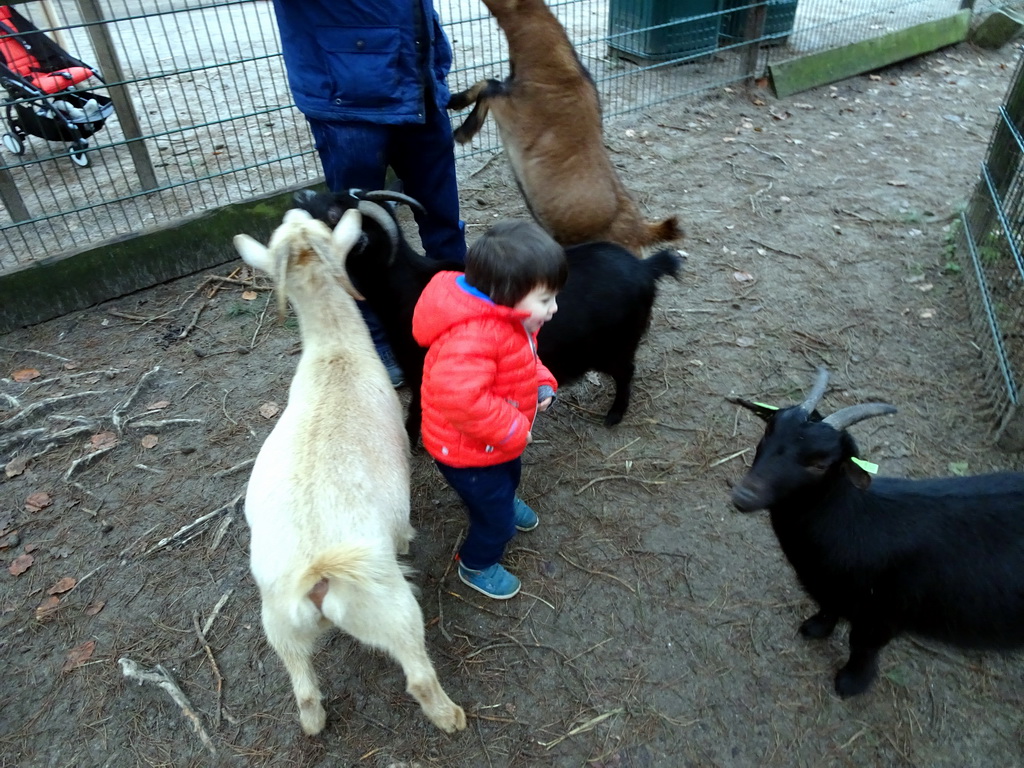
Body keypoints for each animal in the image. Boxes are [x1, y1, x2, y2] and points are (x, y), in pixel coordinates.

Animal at [231, 207, 464, 737]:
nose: (296, 209)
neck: (335, 355)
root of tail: (315, 579)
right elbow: (404, 528)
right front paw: (409, 542)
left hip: (278, 625)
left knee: (304, 692)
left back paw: (314, 723)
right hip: (389, 609)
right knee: (419, 676)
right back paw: (452, 717)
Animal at [292, 188, 684, 438]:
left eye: (334, 215)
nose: (300, 197)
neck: (407, 286)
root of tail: (645, 268)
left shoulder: (422, 367)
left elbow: (418, 404)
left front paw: (412, 438)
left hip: (618, 343)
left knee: (626, 372)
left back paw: (614, 415)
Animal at [448, 0, 679, 257]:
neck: (554, 65)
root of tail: (640, 231)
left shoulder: (515, 114)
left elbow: (489, 88)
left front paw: (462, 132)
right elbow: (486, 84)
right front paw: (454, 100)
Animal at [733, 370, 1024, 700]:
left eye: (820, 463)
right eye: (768, 430)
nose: (743, 496)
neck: (855, 521)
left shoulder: (885, 612)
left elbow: (862, 645)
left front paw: (851, 683)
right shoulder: (832, 589)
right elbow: (828, 608)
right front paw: (816, 629)